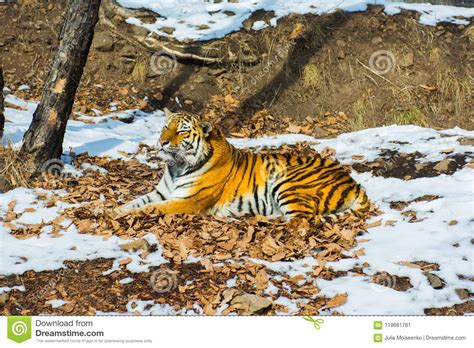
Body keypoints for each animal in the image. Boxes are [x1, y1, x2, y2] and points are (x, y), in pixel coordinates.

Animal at [115, 109, 370, 223]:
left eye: (181, 131)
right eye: (165, 128)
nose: (162, 142)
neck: (178, 166)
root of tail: (354, 182)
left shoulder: (188, 201)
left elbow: (152, 208)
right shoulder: (161, 192)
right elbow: (136, 201)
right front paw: (114, 210)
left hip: (288, 183)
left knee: (304, 220)